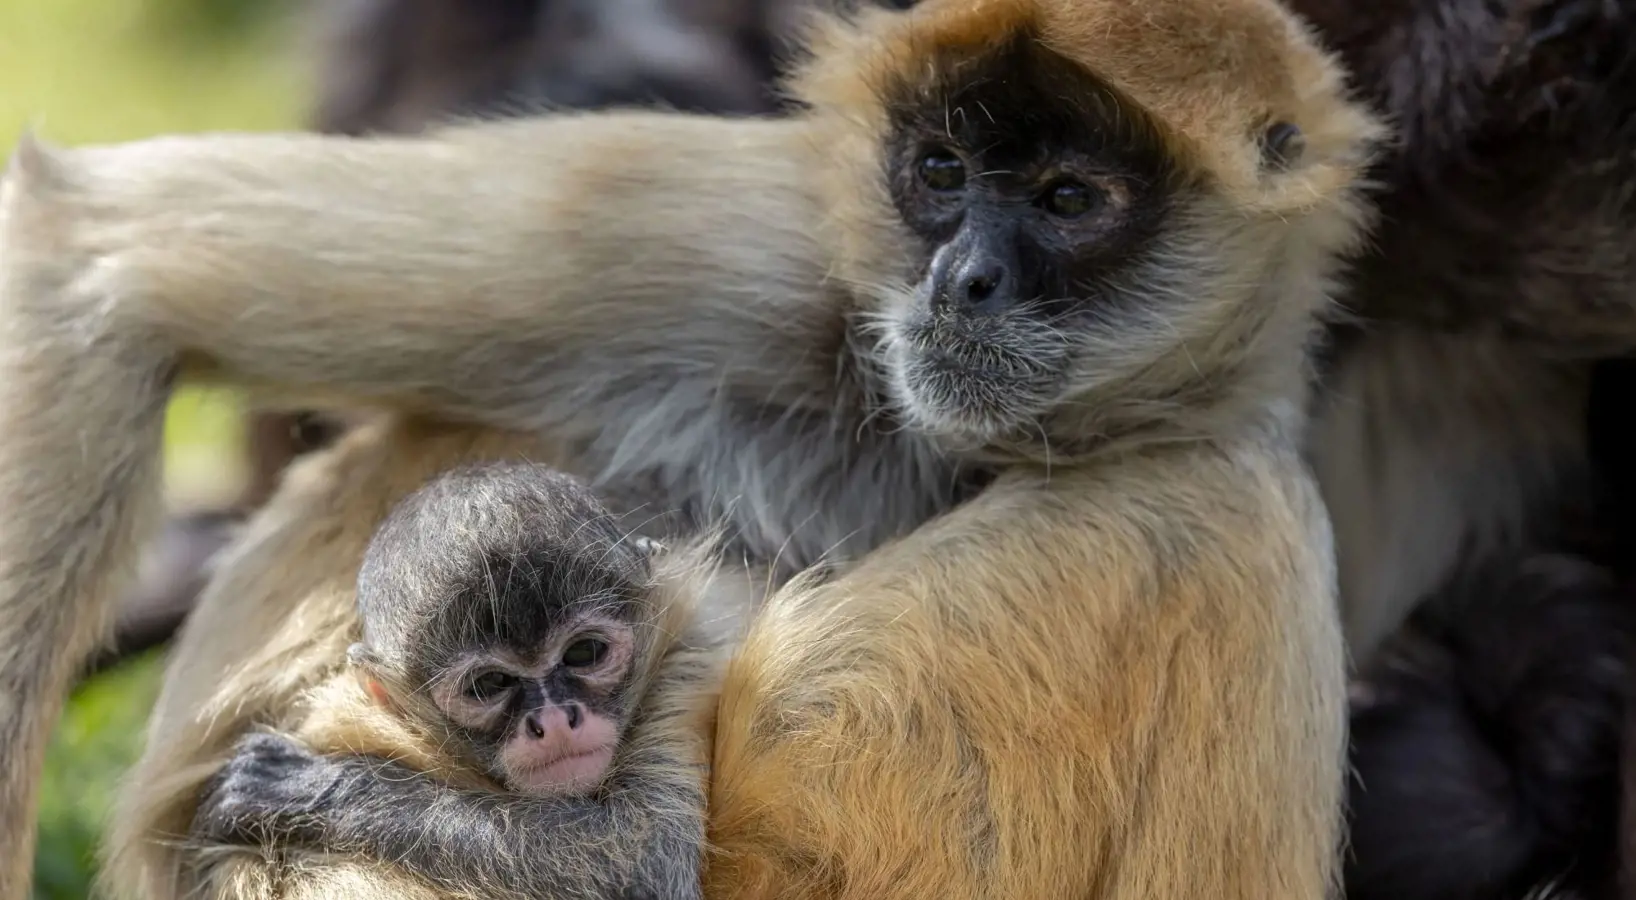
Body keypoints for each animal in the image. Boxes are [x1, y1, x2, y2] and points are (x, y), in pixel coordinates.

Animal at [187, 460, 751, 900]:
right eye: (489, 685)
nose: (554, 720)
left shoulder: (689, 656)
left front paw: (314, 789)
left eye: (584, 653)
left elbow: (644, 862)